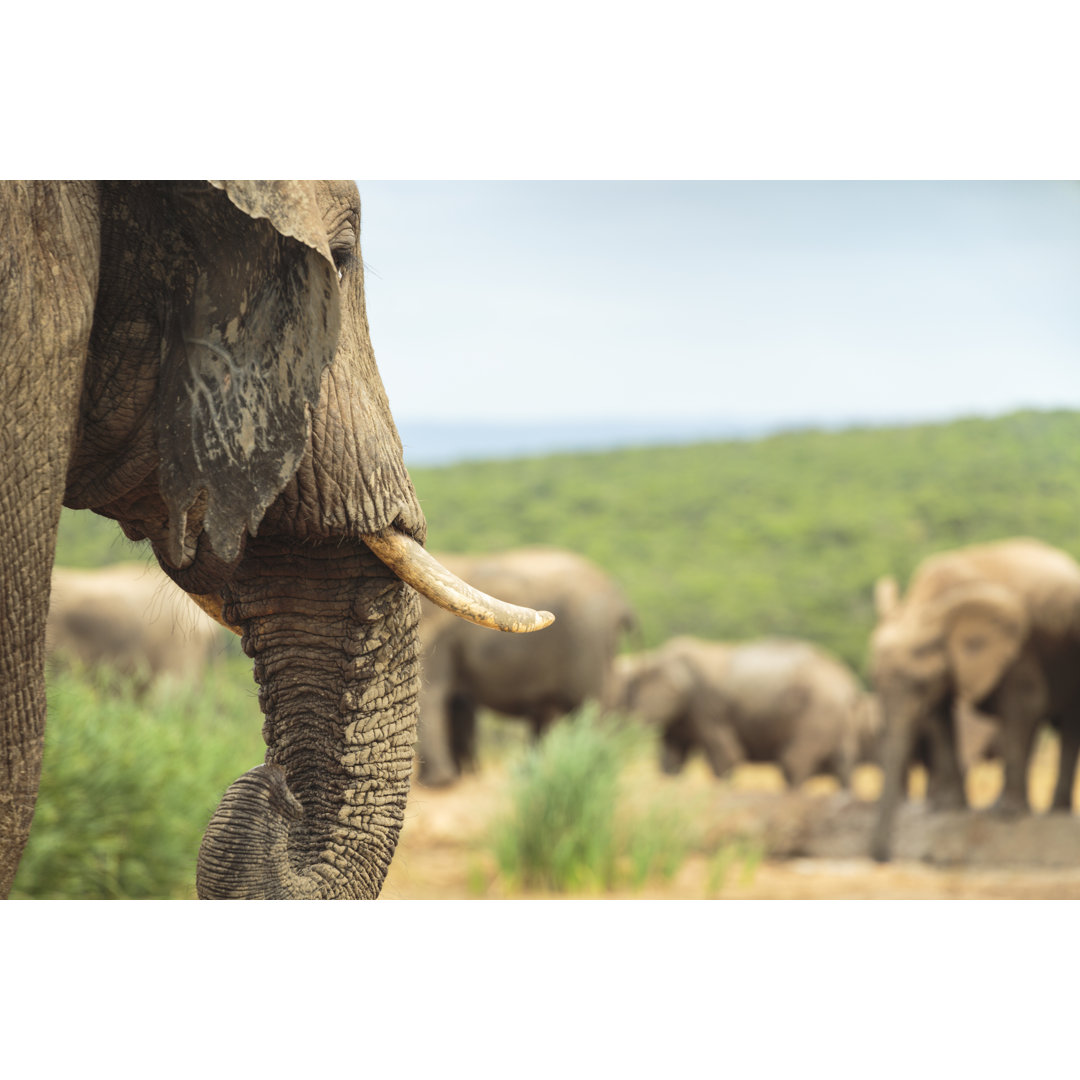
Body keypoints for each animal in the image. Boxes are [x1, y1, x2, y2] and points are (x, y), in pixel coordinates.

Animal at [410, 548, 630, 786]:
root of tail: (619, 600)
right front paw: (463, 776)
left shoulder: (441, 633)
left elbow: (434, 693)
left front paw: (439, 783)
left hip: (587, 639)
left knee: (590, 707)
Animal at [613, 630, 872, 794]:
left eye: (628, 691)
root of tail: (849, 685)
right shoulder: (683, 716)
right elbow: (672, 759)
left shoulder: (706, 704)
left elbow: (725, 754)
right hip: (838, 719)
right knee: (844, 763)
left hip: (817, 712)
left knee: (794, 761)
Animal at [864, 535, 1080, 864]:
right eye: (873, 679)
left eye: (919, 684)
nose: (881, 856)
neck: (928, 604)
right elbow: (940, 714)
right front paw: (947, 809)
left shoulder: (1017, 646)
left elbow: (1026, 702)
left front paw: (1008, 816)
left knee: (1067, 724)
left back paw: (1048, 812)